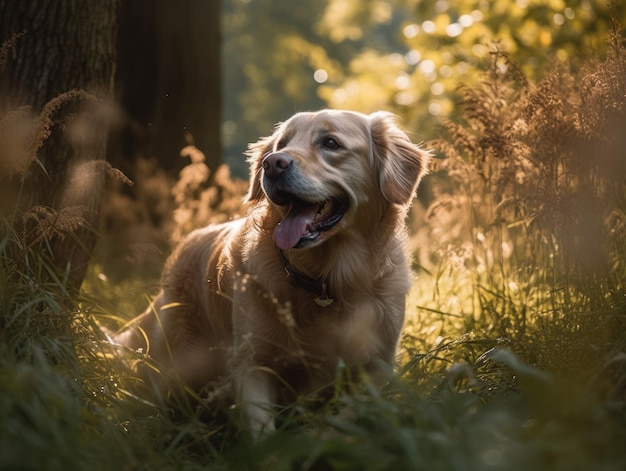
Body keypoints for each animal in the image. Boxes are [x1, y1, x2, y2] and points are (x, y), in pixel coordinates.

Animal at [114, 109, 428, 436]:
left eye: (331, 143)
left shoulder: (377, 366)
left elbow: (345, 420)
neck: (327, 281)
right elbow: (263, 429)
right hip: (175, 360)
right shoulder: (253, 361)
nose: (273, 163)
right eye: (282, 144)